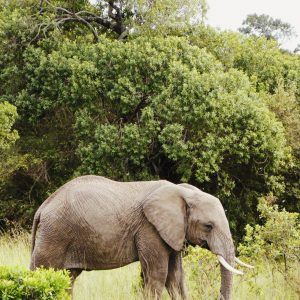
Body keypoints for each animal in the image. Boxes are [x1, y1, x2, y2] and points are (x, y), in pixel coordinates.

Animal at [30, 175, 252, 298]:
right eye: (208, 226)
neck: (181, 191)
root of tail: (43, 207)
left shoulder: (172, 231)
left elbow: (175, 278)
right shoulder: (149, 229)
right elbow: (157, 275)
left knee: (67, 278)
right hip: (54, 234)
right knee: (41, 272)